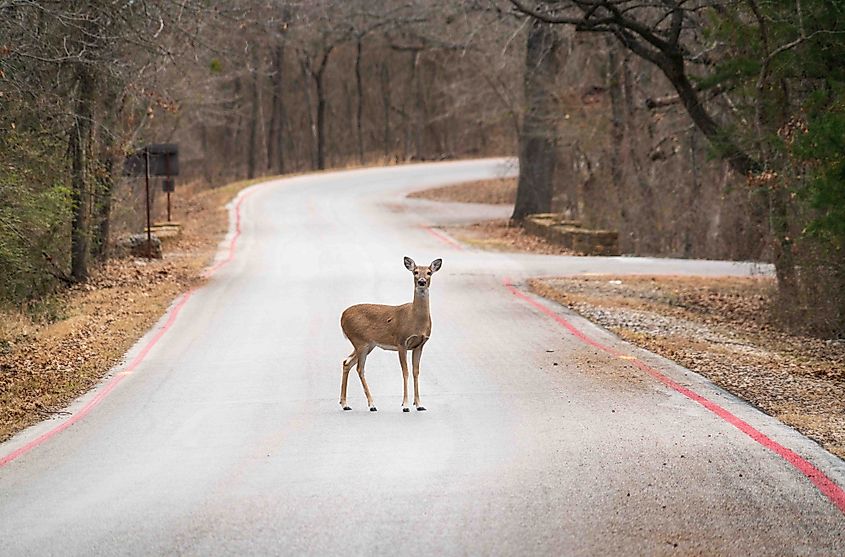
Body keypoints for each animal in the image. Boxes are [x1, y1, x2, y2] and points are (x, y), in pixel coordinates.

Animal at [339, 256, 442, 413]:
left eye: (429, 272)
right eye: (415, 272)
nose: (422, 281)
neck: (415, 320)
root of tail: (342, 316)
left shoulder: (420, 345)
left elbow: (416, 372)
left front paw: (419, 404)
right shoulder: (401, 341)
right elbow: (405, 372)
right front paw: (405, 405)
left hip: (367, 344)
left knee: (346, 362)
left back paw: (345, 404)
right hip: (360, 341)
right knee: (359, 368)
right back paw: (372, 404)